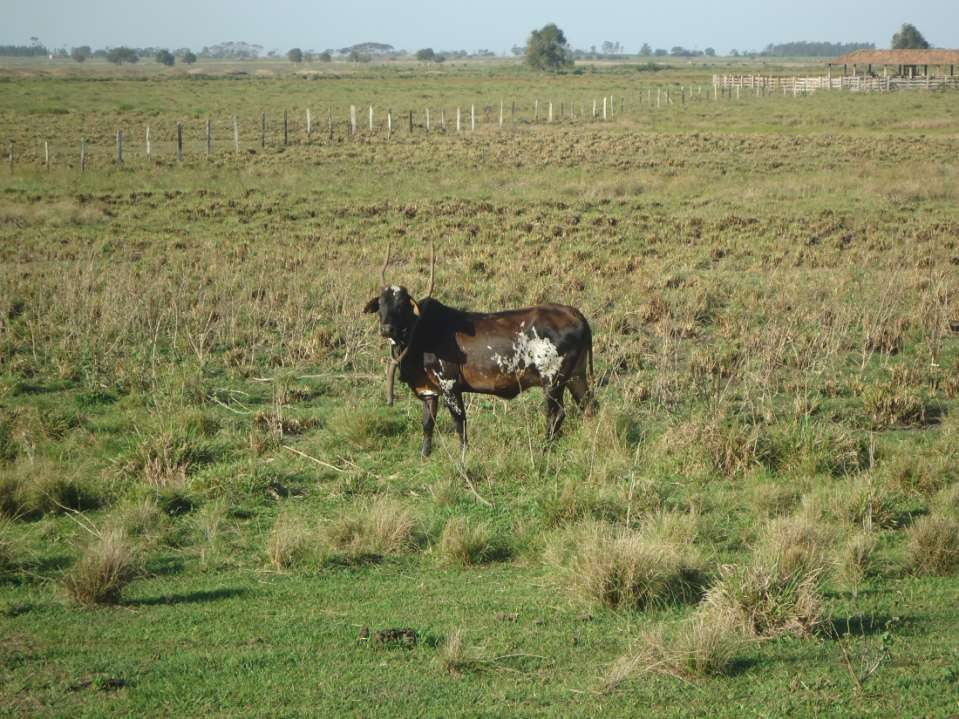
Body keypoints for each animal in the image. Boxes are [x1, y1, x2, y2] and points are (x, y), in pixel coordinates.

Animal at [364, 242, 596, 456]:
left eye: (402, 305)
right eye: (381, 304)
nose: (386, 328)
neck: (420, 332)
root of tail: (573, 313)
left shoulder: (449, 385)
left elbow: (460, 423)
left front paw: (463, 456)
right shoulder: (430, 391)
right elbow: (428, 424)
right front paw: (424, 455)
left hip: (552, 380)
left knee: (556, 414)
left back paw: (544, 449)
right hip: (576, 376)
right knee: (588, 407)